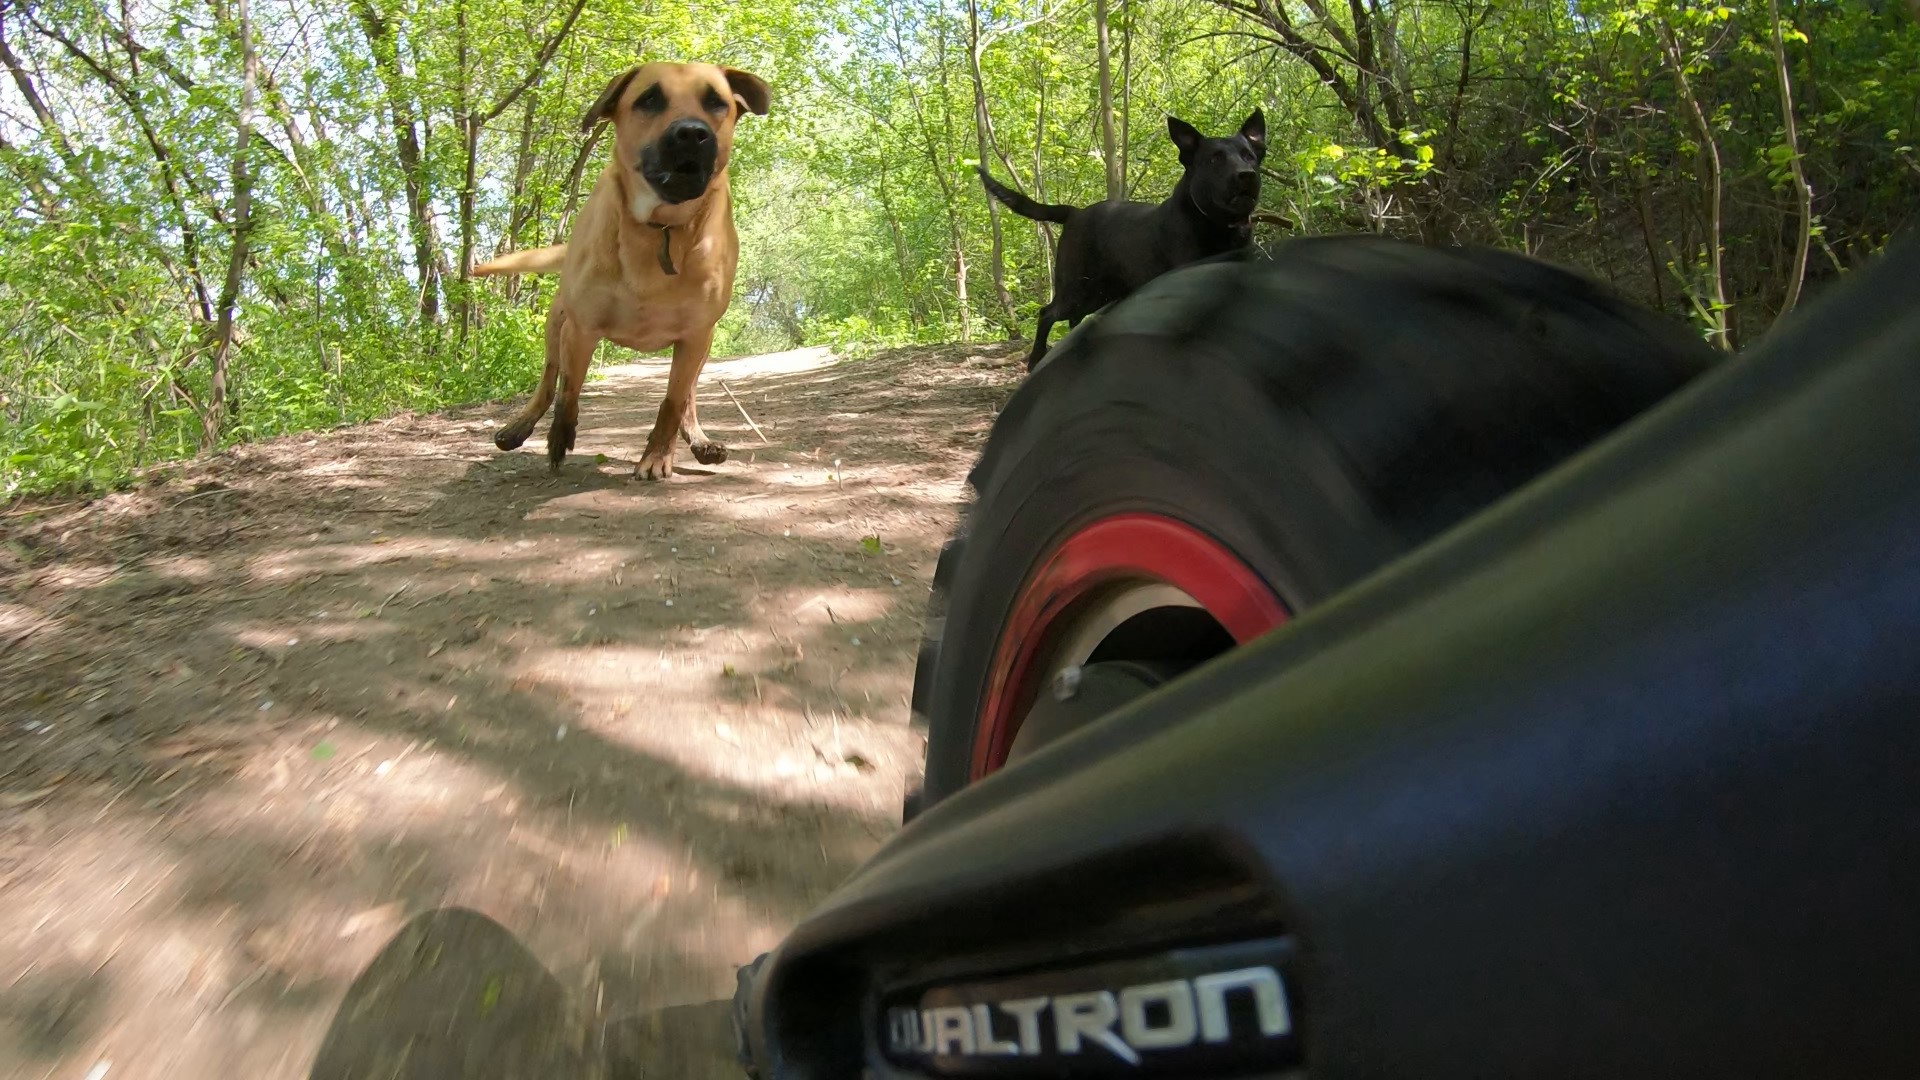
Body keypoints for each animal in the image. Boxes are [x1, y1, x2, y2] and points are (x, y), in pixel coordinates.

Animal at [474, 62, 770, 478]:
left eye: (716, 101)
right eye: (649, 98)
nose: (692, 133)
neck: (660, 228)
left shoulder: (695, 335)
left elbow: (672, 402)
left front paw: (657, 457)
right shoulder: (580, 328)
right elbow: (568, 391)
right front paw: (559, 439)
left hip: (701, 346)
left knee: (689, 396)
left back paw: (698, 439)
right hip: (556, 321)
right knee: (548, 380)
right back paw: (520, 426)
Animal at [980, 111, 1265, 370]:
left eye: (1249, 156)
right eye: (1214, 159)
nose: (1246, 174)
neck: (1218, 225)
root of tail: (1075, 213)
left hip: (1098, 294)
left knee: (1074, 320)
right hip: (1075, 289)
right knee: (1047, 313)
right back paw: (1036, 359)